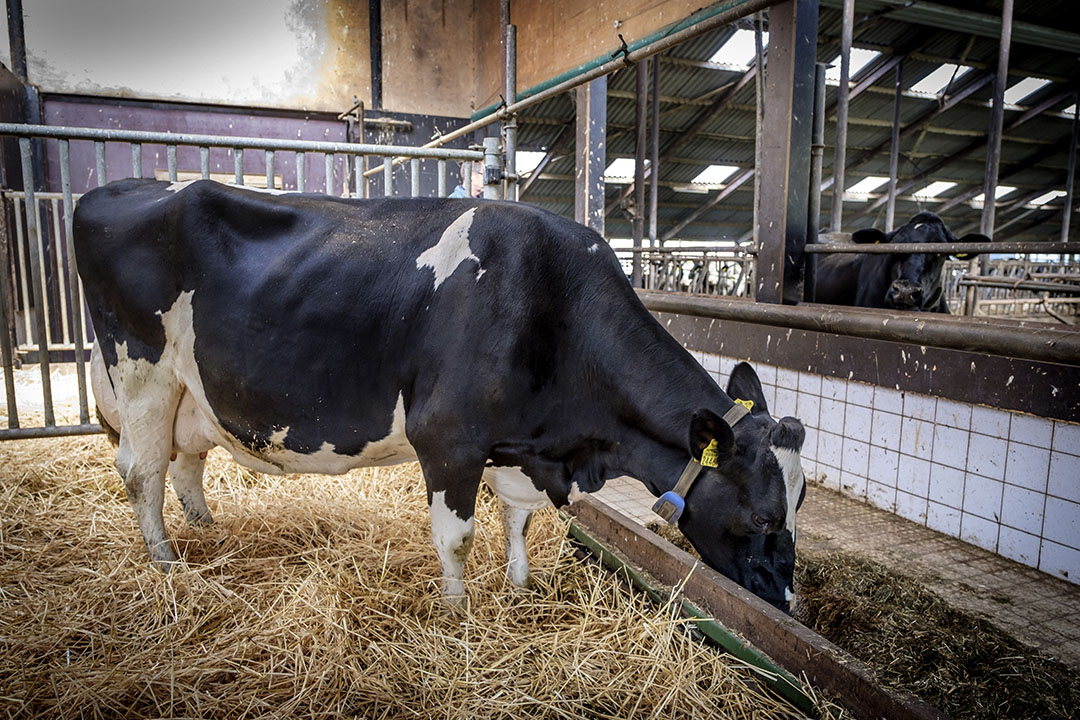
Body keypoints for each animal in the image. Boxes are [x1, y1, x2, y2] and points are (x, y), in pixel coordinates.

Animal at [73, 181, 803, 613]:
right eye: (766, 518)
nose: (786, 598)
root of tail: (115, 189)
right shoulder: (449, 438)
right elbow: (458, 537)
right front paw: (458, 612)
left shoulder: (517, 443)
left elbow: (517, 520)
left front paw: (519, 587)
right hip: (142, 374)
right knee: (141, 472)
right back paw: (167, 564)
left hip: (189, 394)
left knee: (184, 462)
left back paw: (205, 530)